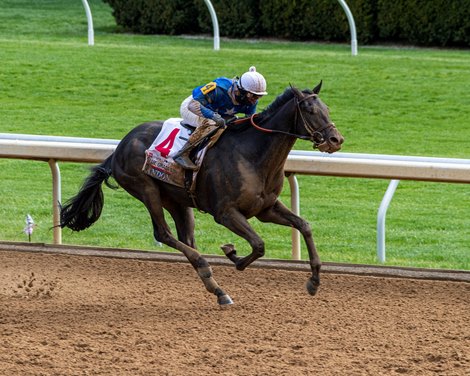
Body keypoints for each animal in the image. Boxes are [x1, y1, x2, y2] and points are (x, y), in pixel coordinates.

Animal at [60, 83, 344, 306]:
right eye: (310, 110)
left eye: (328, 109)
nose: (335, 139)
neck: (253, 155)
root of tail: (118, 148)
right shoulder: (226, 213)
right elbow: (259, 244)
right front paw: (233, 255)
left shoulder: (266, 208)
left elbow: (304, 226)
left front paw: (314, 281)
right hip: (146, 188)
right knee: (163, 233)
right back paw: (209, 274)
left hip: (178, 200)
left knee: (186, 238)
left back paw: (216, 288)